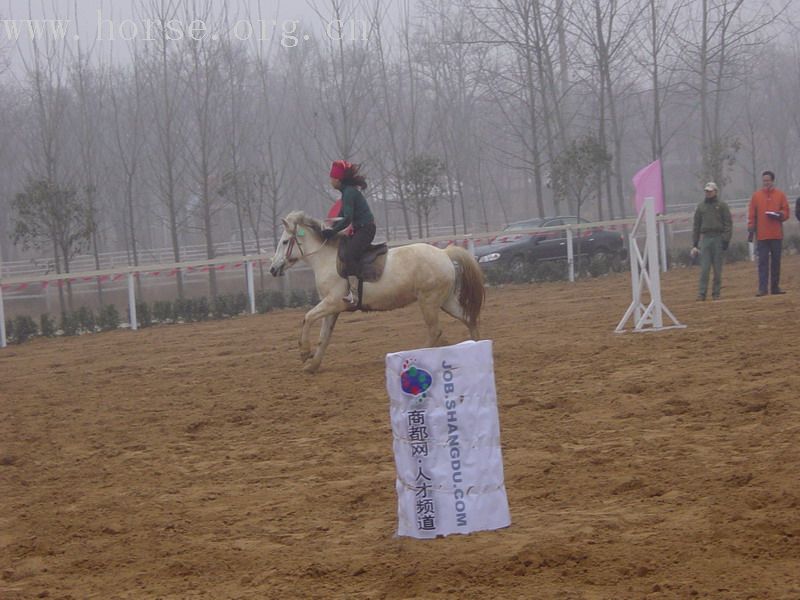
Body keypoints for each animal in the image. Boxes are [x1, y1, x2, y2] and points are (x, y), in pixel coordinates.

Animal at [268, 210, 484, 370]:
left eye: (285, 242)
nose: (272, 269)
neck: (326, 260)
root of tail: (444, 253)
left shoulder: (333, 302)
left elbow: (307, 317)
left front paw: (305, 352)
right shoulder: (332, 308)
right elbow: (324, 337)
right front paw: (313, 365)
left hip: (429, 302)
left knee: (435, 331)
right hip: (445, 301)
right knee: (467, 319)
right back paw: (475, 350)